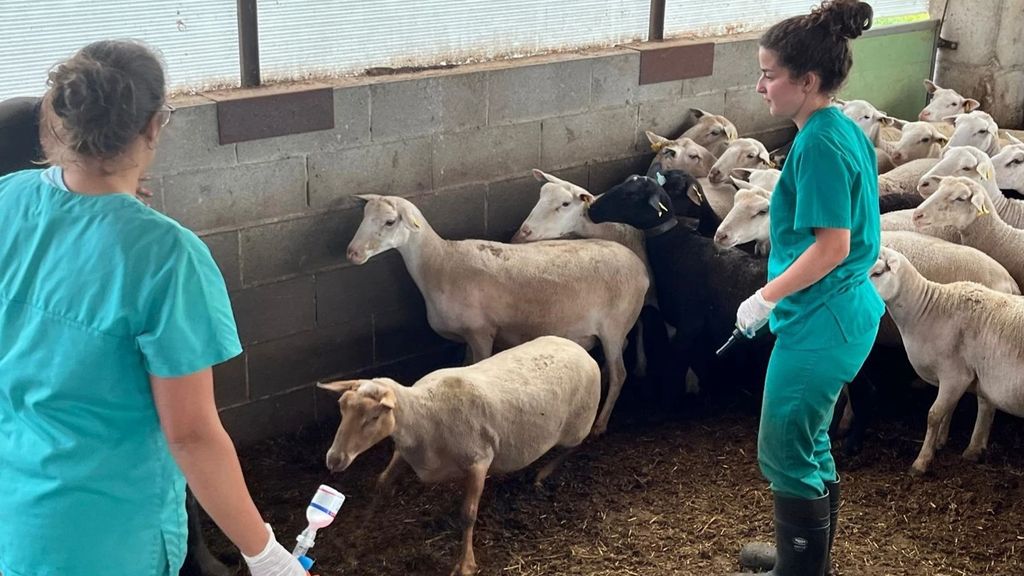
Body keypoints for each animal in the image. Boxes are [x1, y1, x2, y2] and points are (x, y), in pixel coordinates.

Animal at [315, 334, 598, 573]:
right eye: (342, 407)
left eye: (374, 417)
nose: (334, 459)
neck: (424, 415)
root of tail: (578, 348)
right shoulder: (405, 452)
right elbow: (382, 484)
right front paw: (355, 542)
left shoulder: (479, 461)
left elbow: (468, 514)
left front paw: (465, 564)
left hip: (579, 424)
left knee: (576, 446)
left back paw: (543, 473)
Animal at [346, 194, 647, 432]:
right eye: (364, 217)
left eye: (389, 222)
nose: (352, 253)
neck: (440, 263)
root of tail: (640, 268)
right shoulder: (468, 336)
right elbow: (464, 365)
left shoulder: (481, 333)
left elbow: (476, 368)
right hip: (617, 328)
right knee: (621, 353)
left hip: (613, 326)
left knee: (621, 373)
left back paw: (600, 423)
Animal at [868, 243, 1024, 473]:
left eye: (878, 272)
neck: (925, 310)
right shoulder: (955, 378)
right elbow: (948, 410)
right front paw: (940, 442)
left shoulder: (955, 375)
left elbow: (933, 415)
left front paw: (921, 462)